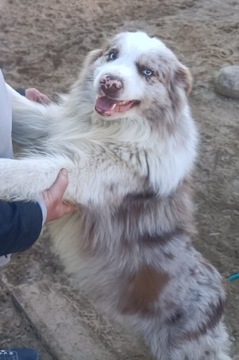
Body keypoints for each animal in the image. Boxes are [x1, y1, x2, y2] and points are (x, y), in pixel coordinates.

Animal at [0, 31, 232, 360]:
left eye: (147, 72)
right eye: (111, 55)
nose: (110, 82)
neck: (110, 129)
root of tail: (220, 297)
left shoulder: (84, 171)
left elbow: (28, 171)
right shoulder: (52, 127)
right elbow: (20, 106)